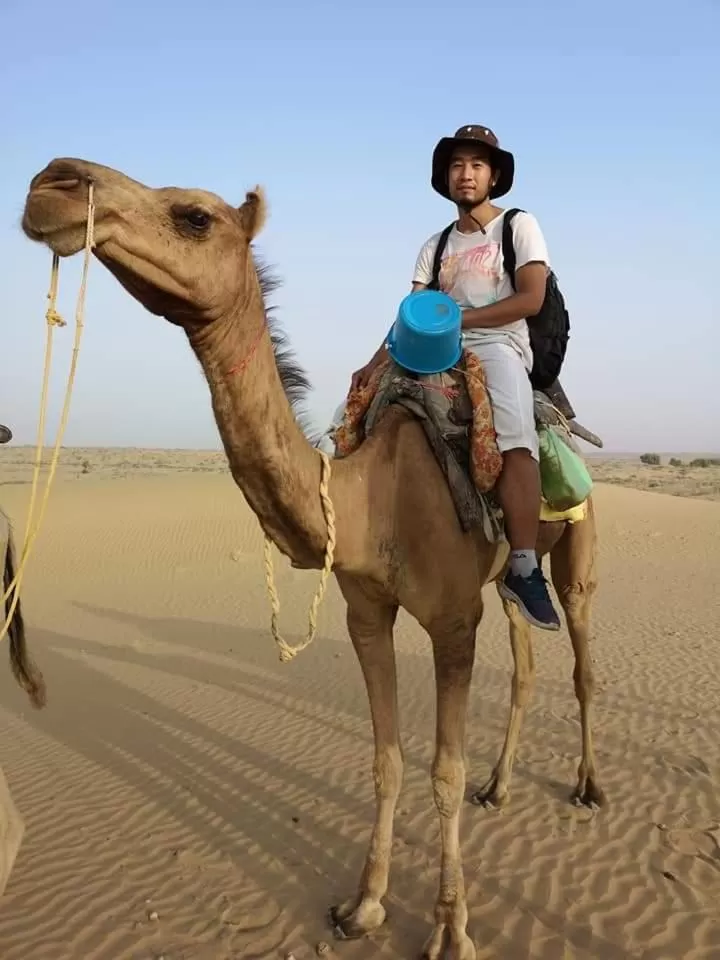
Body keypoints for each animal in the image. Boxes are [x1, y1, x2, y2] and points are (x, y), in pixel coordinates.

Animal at [21, 157, 603, 960]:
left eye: (194, 216)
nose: (52, 183)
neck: (371, 498)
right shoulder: (367, 613)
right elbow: (387, 762)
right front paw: (364, 906)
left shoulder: (454, 622)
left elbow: (442, 773)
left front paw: (451, 930)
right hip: (508, 584)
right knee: (523, 658)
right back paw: (501, 786)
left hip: (576, 543)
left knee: (580, 660)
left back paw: (586, 787)